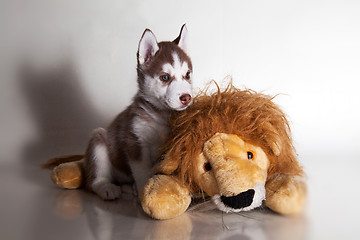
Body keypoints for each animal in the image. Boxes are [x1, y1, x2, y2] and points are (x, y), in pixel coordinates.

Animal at [83, 24, 194, 201]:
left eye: (187, 75)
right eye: (164, 77)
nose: (186, 98)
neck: (161, 116)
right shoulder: (135, 141)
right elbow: (142, 172)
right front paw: (144, 192)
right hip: (98, 141)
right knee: (93, 181)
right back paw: (107, 187)